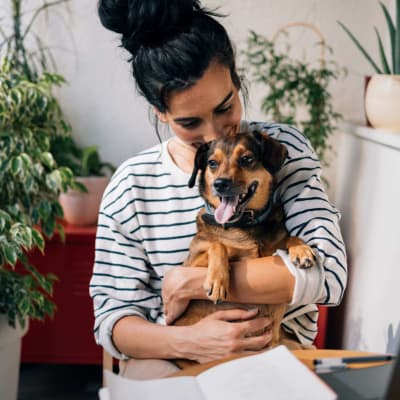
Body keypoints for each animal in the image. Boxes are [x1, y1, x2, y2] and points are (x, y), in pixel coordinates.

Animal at [173, 130, 314, 364]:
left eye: (247, 159)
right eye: (212, 163)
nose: (220, 183)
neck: (245, 224)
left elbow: (290, 236)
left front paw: (302, 249)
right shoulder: (190, 265)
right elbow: (217, 244)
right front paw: (218, 281)